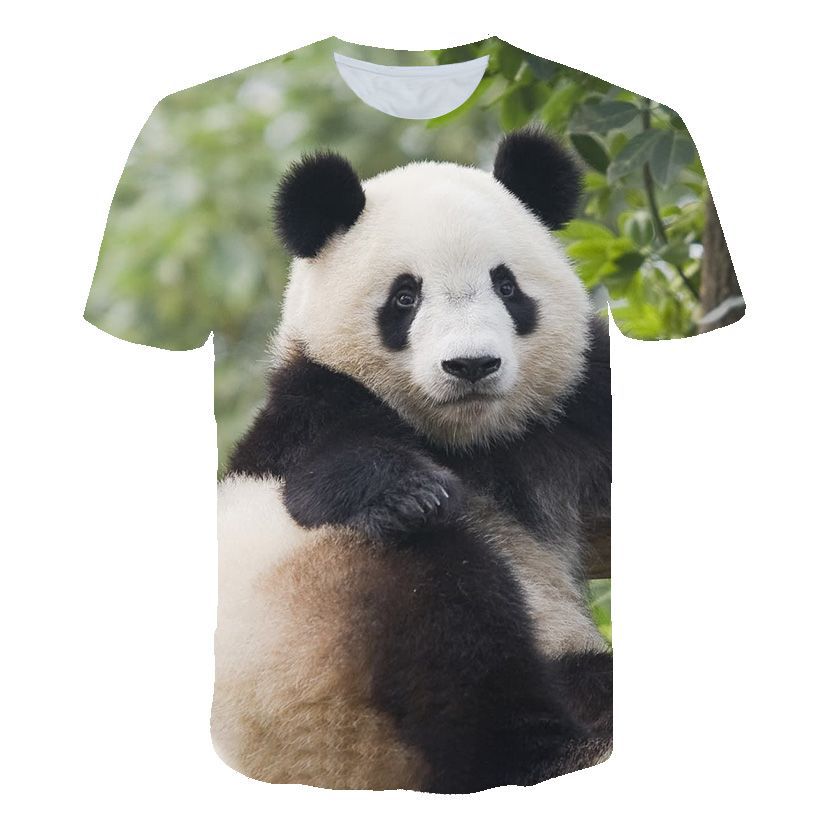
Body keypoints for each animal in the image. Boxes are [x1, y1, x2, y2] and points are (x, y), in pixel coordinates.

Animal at [212, 128, 612, 792]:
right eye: (405, 296)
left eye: (507, 287)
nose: (471, 365)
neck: (469, 440)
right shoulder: (308, 410)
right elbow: (322, 471)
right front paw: (413, 493)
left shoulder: (571, 405)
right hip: (318, 629)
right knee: (453, 624)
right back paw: (551, 750)